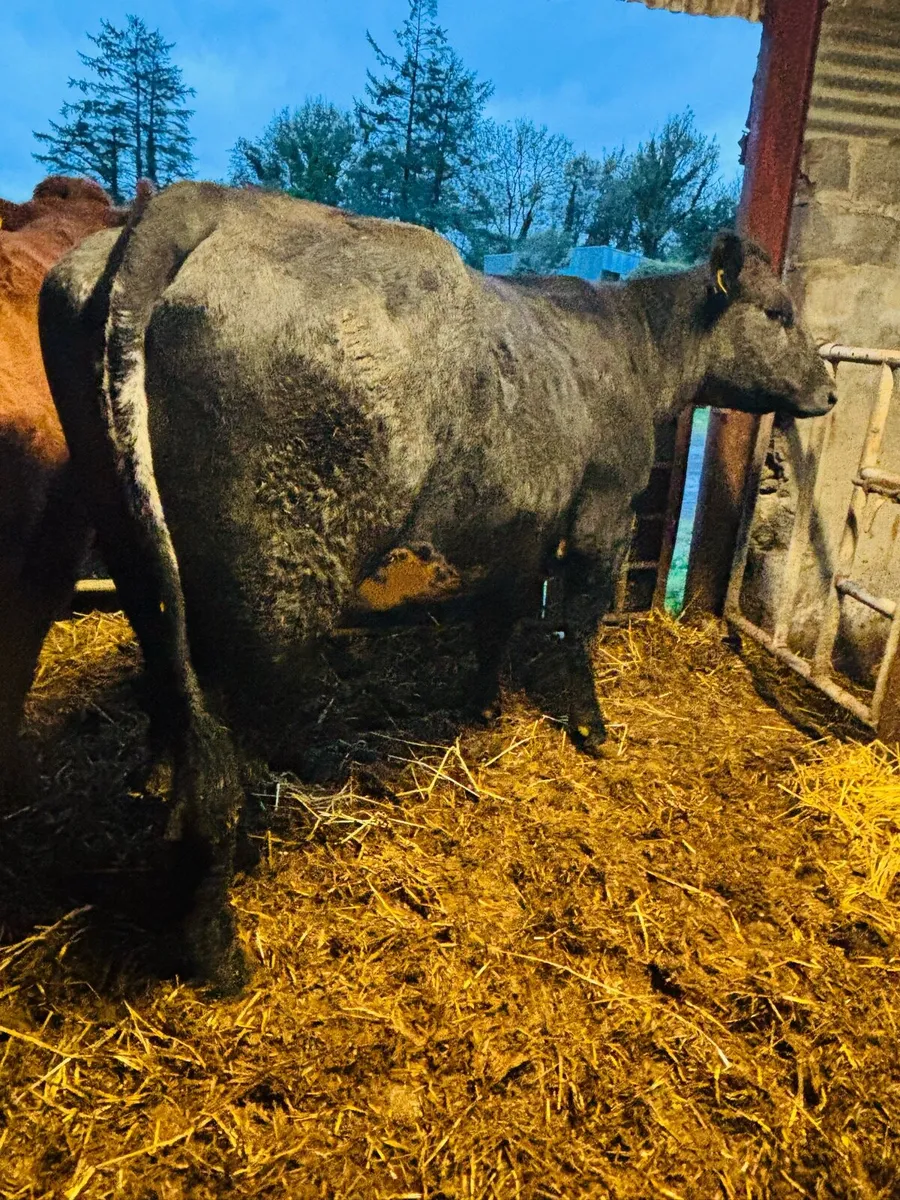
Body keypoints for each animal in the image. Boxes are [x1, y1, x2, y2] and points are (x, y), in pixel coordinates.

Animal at [37, 181, 837, 992]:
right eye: (779, 312)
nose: (830, 390)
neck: (631, 351)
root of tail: (202, 201)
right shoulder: (603, 515)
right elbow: (577, 627)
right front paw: (591, 729)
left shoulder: (520, 525)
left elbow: (501, 615)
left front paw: (482, 703)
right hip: (271, 590)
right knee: (215, 770)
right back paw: (216, 950)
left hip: (135, 549)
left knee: (173, 708)